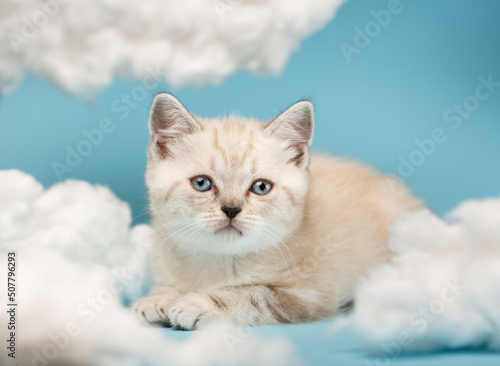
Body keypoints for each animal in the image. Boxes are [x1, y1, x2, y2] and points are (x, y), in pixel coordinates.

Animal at [133, 91, 422, 328]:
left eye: (261, 187)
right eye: (201, 183)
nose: (231, 210)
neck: (219, 262)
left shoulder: (310, 295)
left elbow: (253, 293)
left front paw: (195, 303)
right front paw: (159, 297)